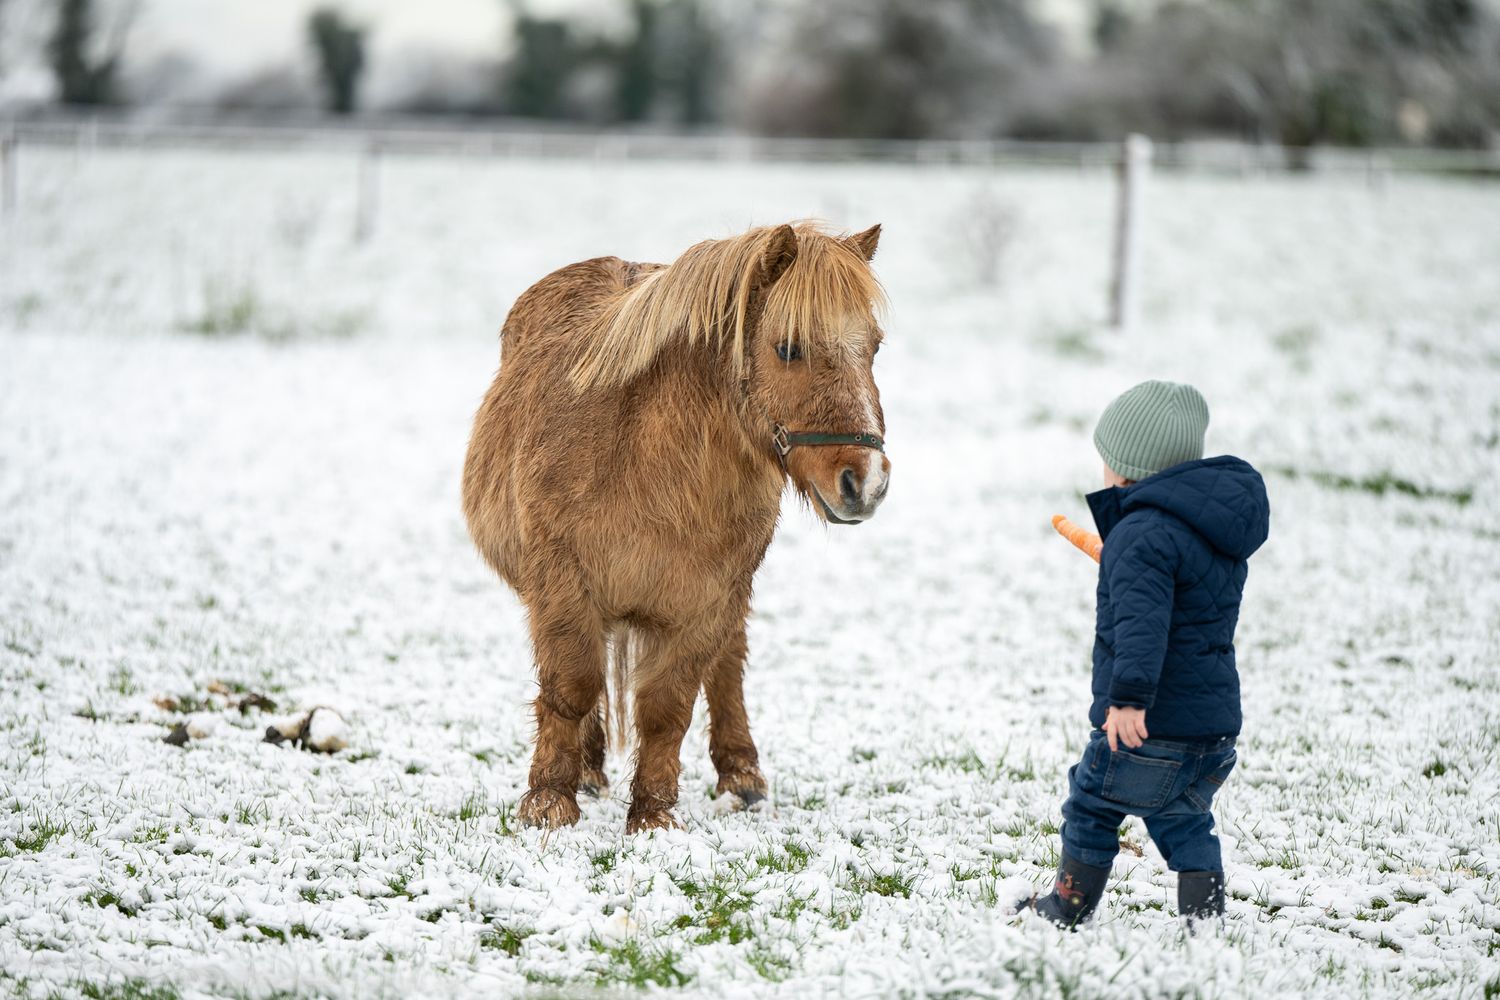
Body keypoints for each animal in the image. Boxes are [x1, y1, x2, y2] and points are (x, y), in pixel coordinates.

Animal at [461, 221, 891, 833]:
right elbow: (571, 687)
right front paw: (548, 802)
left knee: (728, 665)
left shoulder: (706, 603)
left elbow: (668, 708)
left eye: (874, 347)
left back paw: (742, 776)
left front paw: (653, 818)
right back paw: (587, 771)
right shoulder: (562, 588)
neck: (644, 458)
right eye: (788, 347)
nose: (867, 481)